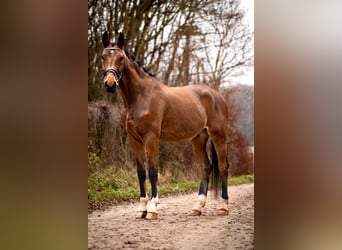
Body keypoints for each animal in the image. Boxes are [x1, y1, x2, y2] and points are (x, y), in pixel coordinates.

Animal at [101, 31, 230, 219]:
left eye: (121, 58)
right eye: (103, 57)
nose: (110, 84)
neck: (140, 96)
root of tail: (217, 95)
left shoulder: (151, 138)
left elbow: (153, 171)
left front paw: (152, 209)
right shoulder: (134, 140)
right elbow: (141, 173)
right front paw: (141, 209)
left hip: (219, 136)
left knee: (223, 167)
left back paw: (223, 207)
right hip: (198, 138)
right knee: (206, 168)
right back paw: (197, 207)